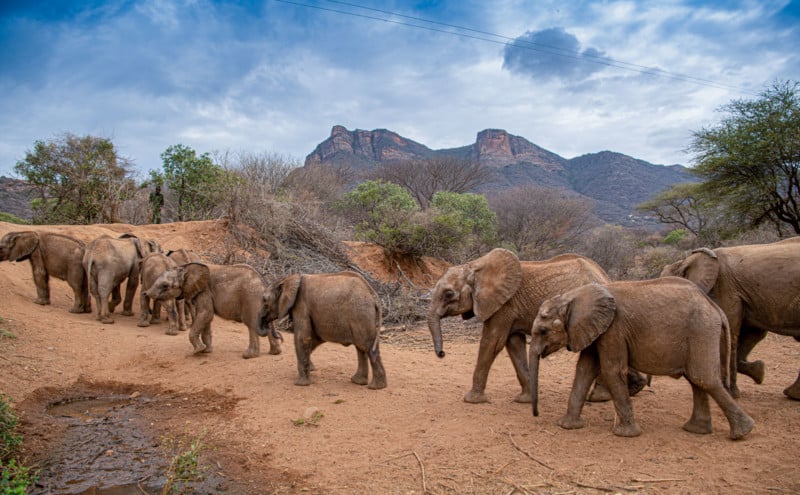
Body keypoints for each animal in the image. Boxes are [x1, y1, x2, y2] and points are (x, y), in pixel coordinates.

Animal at [144, 262, 284, 358]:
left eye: (165, 286)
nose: (145, 293)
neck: (185, 268)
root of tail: (262, 282)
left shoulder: (204, 291)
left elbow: (206, 313)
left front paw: (197, 351)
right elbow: (206, 317)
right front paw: (206, 351)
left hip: (250, 298)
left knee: (251, 323)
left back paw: (248, 356)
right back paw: (275, 353)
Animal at [260, 272, 388, 392]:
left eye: (265, 301)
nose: (280, 337)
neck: (287, 279)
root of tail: (374, 296)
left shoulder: (301, 306)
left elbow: (303, 338)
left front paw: (301, 384)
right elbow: (314, 339)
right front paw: (312, 369)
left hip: (360, 314)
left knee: (366, 346)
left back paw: (375, 387)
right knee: (361, 347)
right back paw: (361, 382)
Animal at [428, 250, 648, 404]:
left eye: (448, 294)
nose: (441, 353)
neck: (476, 266)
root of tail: (605, 277)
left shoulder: (504, 305)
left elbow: (492, 342)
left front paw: (472, 400)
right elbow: (513, 345)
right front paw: (525, 400)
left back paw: (600, 397)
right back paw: (634, 388)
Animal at [528, 280, 752, 442]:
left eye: (543, 331)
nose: (536, 414)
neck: (573, 296)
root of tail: (716, 307)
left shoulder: (614, 329)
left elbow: (611, 370)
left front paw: (626, 435)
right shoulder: (595, 329)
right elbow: (584, 370)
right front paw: (567, 426)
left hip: (701, 330)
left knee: (703, 378)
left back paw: (742, 433)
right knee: (696, 380)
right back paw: (697, 430)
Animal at [660, 238, 800, 402]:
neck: (687, 260)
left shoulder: (726, 288)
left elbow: (729, 333)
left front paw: (730, 393)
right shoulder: (746, 296)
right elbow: (753, 334)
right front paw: (759, 372)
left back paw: (791, 395)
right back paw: (792, 395)